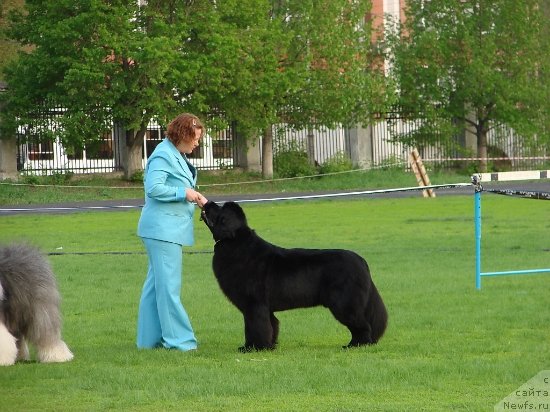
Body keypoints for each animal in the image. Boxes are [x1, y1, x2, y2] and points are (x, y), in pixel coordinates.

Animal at [202, 200, 388, 350]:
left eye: (220, 210)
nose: (208, 202)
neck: (235, 241)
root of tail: (361, 261)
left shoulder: (254, 304)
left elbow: (255, 327)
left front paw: (254, 348)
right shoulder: (264, 307)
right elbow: (271, 325)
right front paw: (269, 346)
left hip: (344, 303)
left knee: (362, 324)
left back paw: (356, 345)